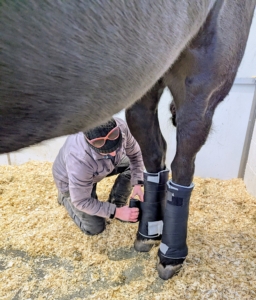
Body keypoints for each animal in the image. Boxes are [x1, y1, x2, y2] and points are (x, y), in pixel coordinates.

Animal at [0, 1, 255, 280]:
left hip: (203, 75)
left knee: (183, 159)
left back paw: (170, 254)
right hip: (149, 78)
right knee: (154, 152)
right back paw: (148, 233)